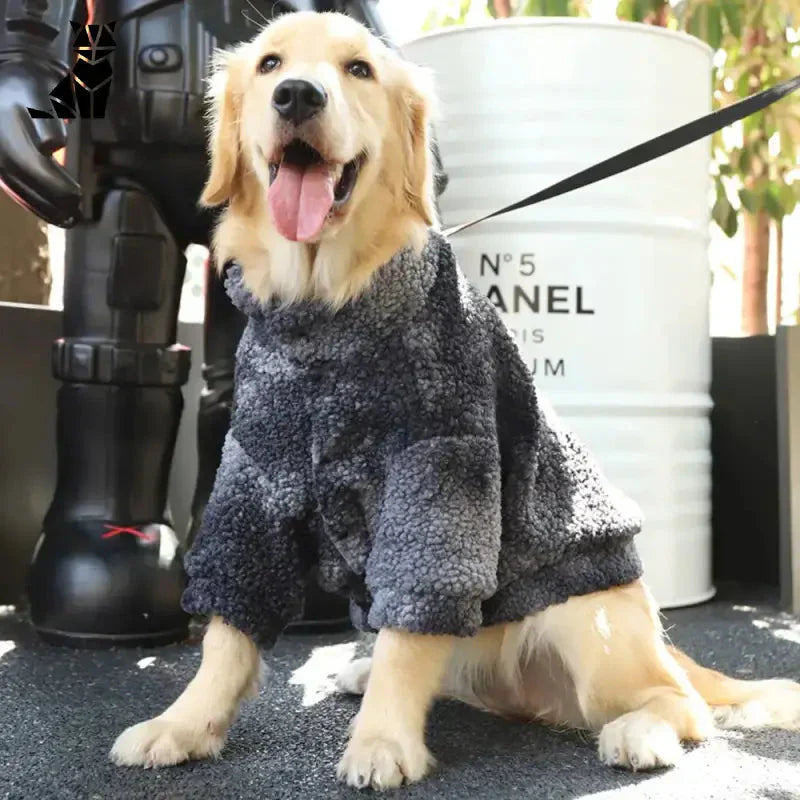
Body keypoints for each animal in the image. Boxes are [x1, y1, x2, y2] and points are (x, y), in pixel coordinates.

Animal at [109, 10, 800, 788]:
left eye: (358, 69)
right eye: (269, 64)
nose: (297, 96)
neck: (326, 309)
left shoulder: (440, 465)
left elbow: (415, 619)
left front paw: (383, 740)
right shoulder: (257, 472)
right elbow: (230, 628)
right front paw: (184, 723)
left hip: (588, 617)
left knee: (681, 702)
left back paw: (640, 731)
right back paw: (360, 670)